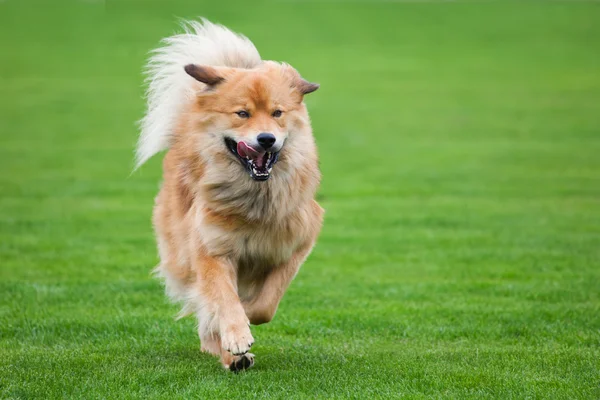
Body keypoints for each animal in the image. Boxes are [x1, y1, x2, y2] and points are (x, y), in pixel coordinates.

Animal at [135, 19, 324, 372]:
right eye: (242, 114)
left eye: (277, 113)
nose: (266, 139)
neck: (256, 200)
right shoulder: (212, 250)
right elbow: (222, 299)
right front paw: (234, 335)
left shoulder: (298, 244)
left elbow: (265, 303)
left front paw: (246, 316)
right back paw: (230, 354)